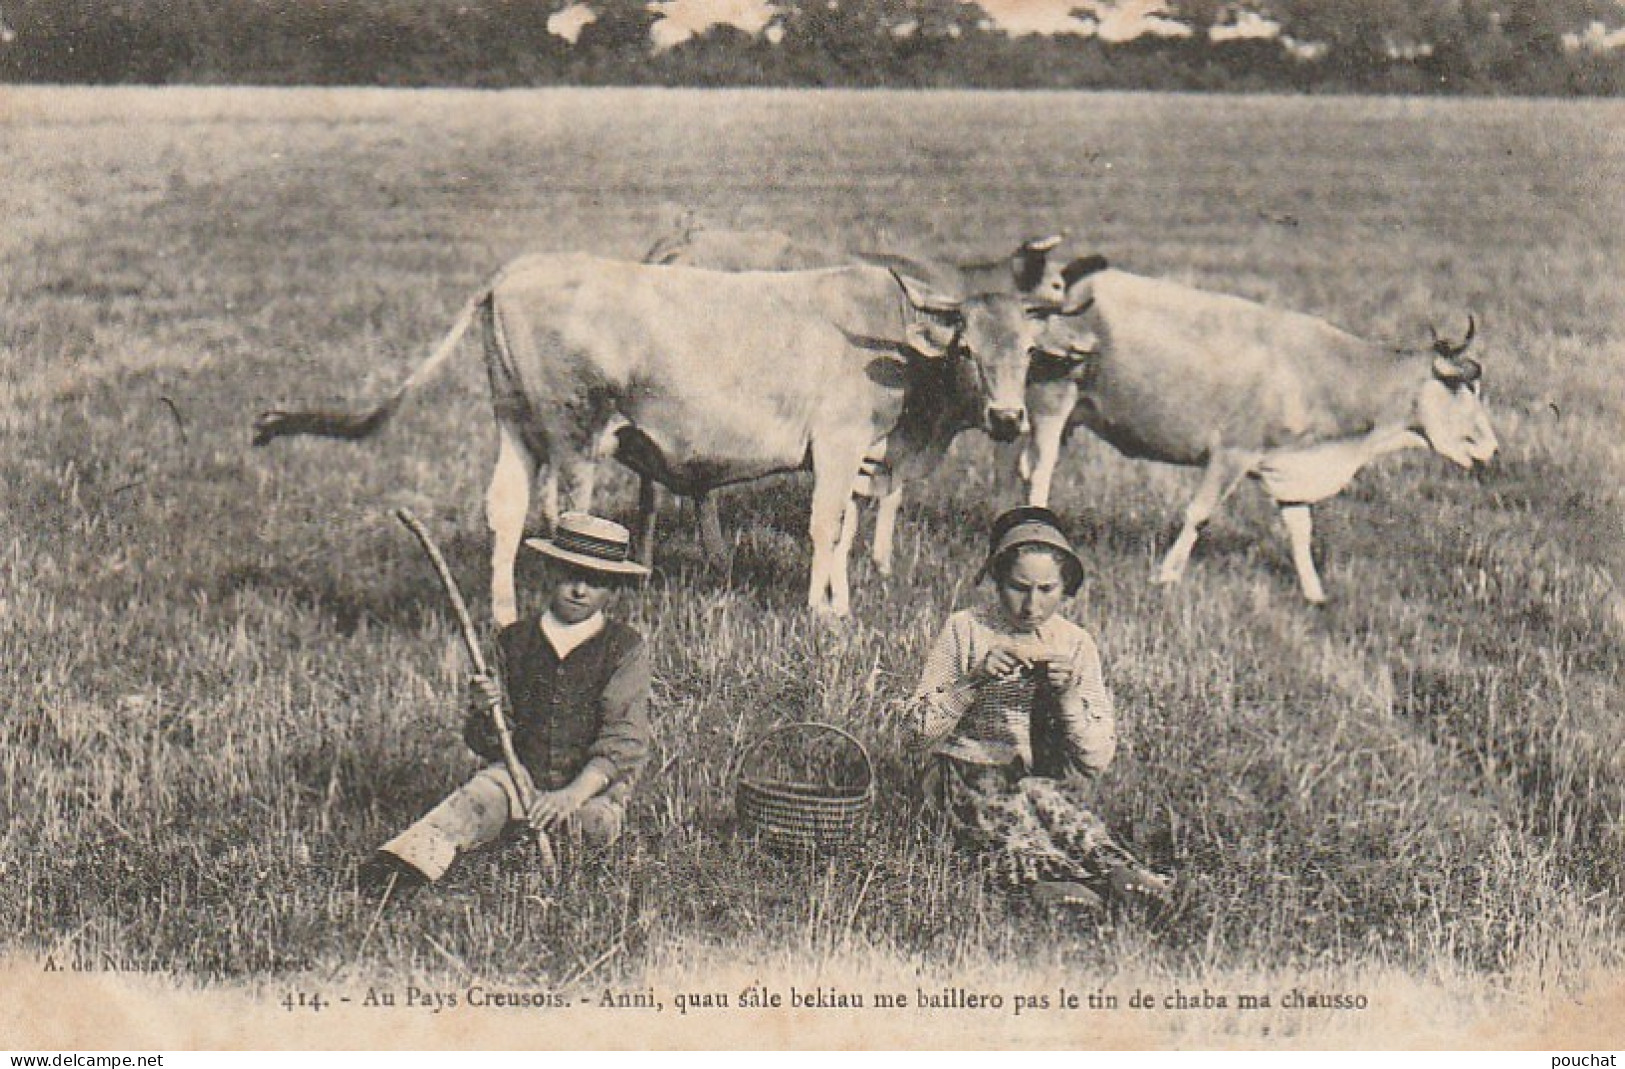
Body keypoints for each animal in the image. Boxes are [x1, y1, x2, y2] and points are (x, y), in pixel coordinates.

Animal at [253, 251, 1072, 617]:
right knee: (560, 516)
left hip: (515, 423)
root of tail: (516, 269)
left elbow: (844, 528)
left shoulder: (864, 456)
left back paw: (505, 613)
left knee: (506, 514)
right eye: (967, 349)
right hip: (574, 431)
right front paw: (824, 612)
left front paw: (840, 600)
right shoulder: (839, 443)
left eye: (1029, 352)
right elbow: (824, 526)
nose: (1008, 419)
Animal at [1027, 261, 1495, 597]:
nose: (1490, 446)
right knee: (1040, 472)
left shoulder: (1290, 467)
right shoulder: (1232, 451)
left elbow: (1301, 532)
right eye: (1458, 386)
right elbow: (1199, 514)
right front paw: (1167, 577)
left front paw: (1314, 594)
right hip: (1052, 397)